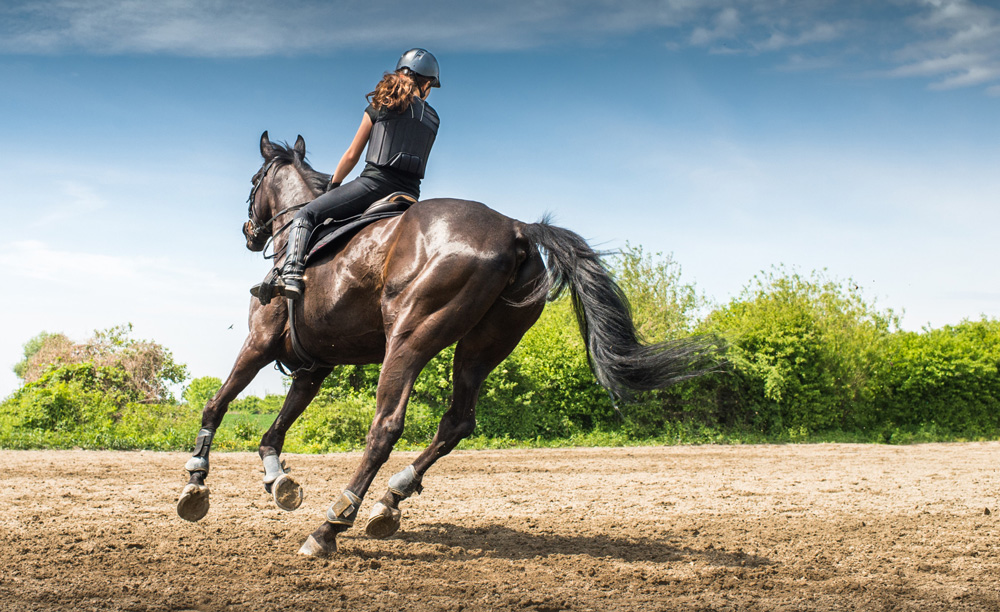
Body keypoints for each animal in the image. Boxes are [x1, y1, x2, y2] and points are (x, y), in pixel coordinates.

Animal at [176, 131, 716, 556]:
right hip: (482, 347)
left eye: (253, 181)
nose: (249, 232)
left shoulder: (260, 343)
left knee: (385, 428)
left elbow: (216, 405)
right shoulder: (314, 366)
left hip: (410, 338)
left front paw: (196, 482)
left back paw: (332, 525)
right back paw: (389, 501)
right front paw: (279, 480)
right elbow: (275, 431)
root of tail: (516, 229)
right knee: (456, 422)